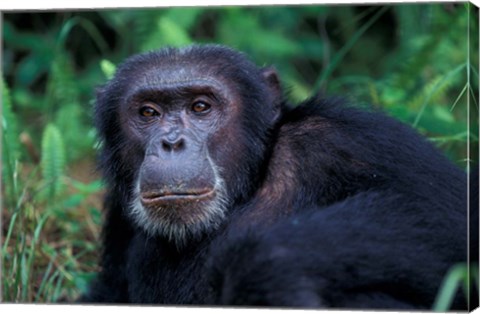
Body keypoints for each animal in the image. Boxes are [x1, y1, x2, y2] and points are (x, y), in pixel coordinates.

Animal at [78, 44, 472, 310]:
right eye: (148, 112)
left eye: (201, 107)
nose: (172, 142)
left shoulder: (353, 140)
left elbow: (448, 216)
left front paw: (261, 265)